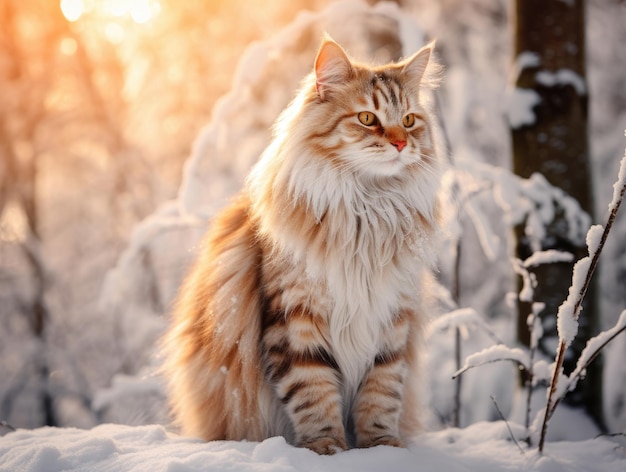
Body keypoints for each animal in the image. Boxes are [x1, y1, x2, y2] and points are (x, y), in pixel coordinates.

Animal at [161, 35, 444, 456]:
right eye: (367, 119)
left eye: (409, 121)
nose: (398, 143)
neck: (368, 211)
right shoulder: (295, 322)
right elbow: (314, 394)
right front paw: (327, 448)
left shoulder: (393, 321)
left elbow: (381, 395)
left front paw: (382, 449)